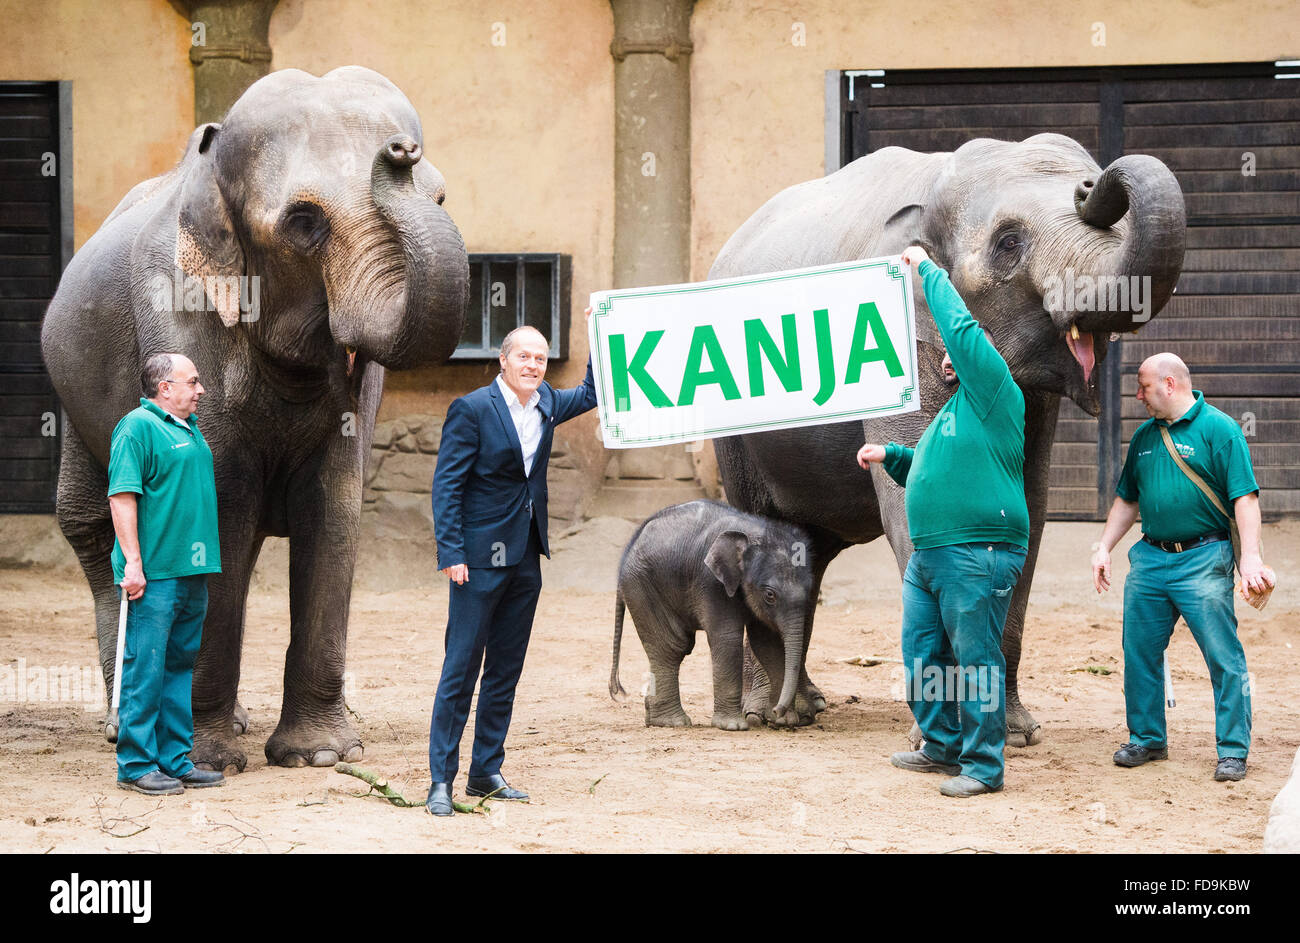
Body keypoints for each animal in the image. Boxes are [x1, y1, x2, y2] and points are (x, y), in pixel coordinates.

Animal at [43, 67, 470, 770]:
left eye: (440, 198)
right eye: (303, 222)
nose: (400, 153)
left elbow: (334, 504)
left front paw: (320, 757)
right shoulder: (179, 309)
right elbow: (218, 503)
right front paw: (207, 762)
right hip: (73, 394)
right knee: (93, 526)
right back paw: (123, 725)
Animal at [611, 499, 811, 728]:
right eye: (770, 595)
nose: (778, 710)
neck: (754, 530)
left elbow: (768, 642)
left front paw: (784, 721)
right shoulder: (710, 581)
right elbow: (727, 637)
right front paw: (734, 726)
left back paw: (656, 719)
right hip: (641, 586)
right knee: (671, 646)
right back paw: (674, 722)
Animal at [712, 133, 1190, 743]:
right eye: (1009, 243)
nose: (1091, 187)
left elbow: (1027, 511)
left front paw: (1015, 731)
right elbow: (917, 497)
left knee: (806, 552)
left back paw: (806, 703)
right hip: (736, 429)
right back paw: (767, 716)